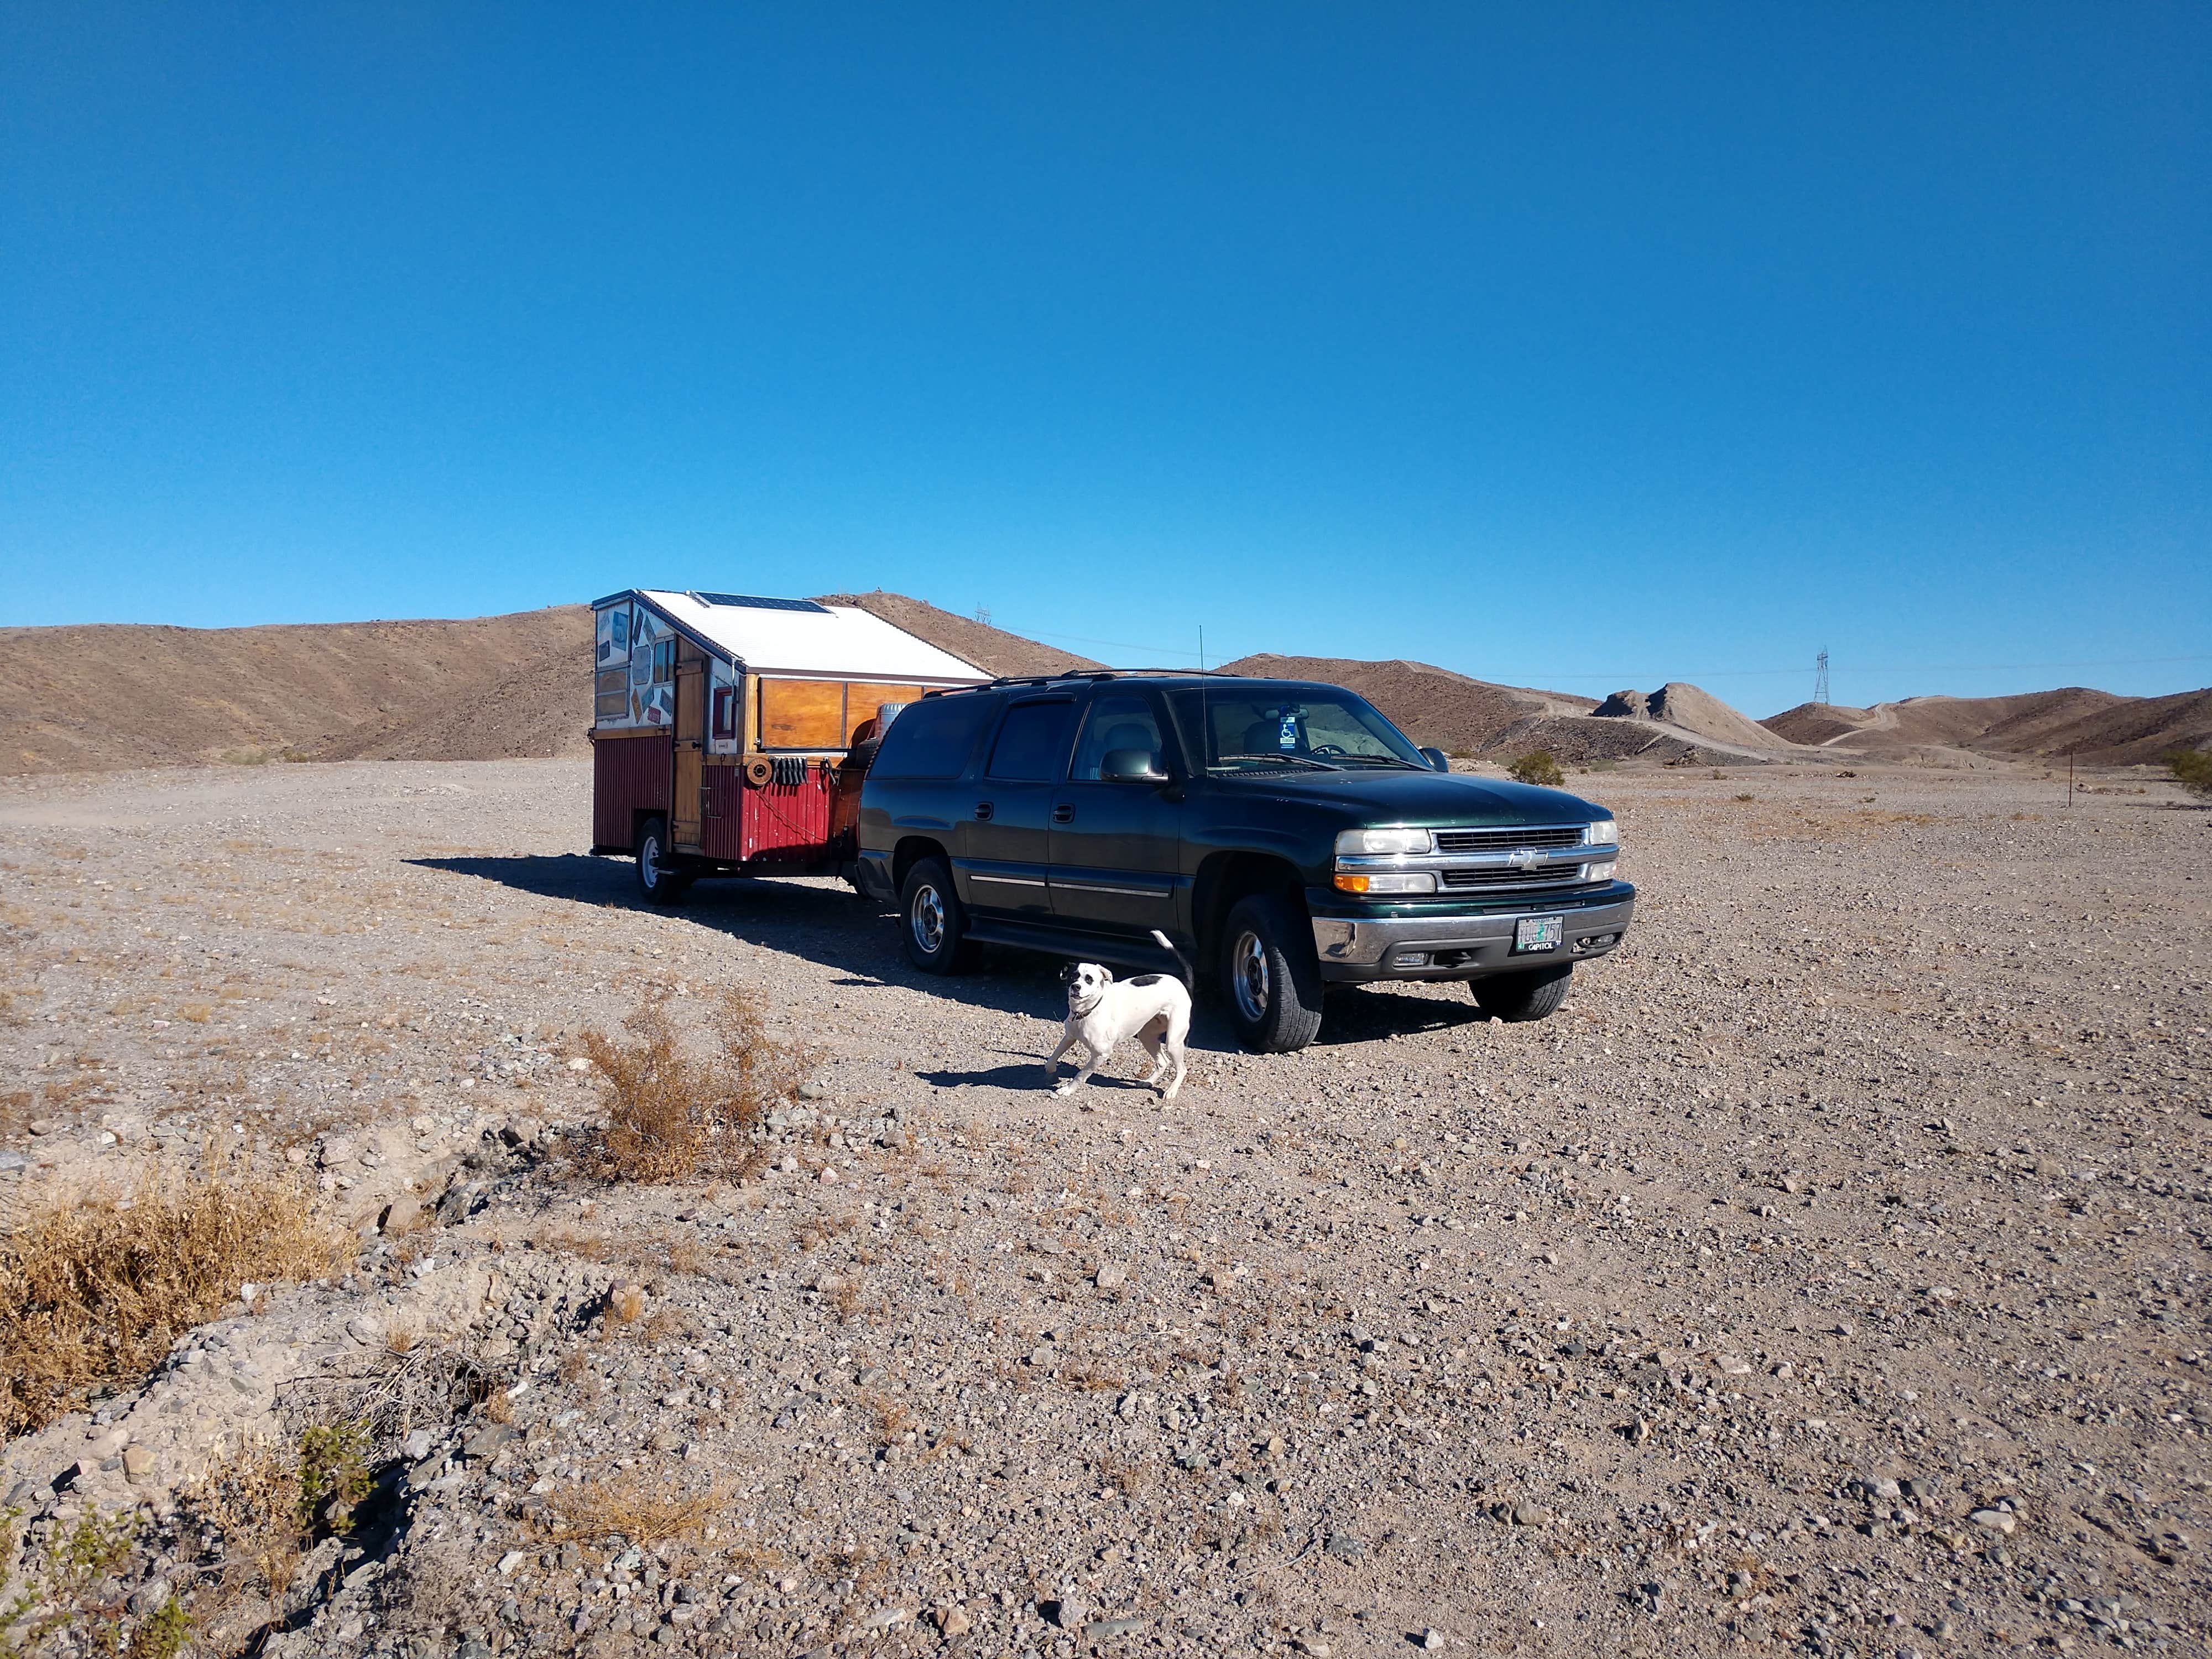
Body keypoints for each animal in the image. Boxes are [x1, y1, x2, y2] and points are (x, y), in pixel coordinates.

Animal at [1048, 938, 1194, 1106]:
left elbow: (1081, 1074)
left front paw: (1067, 1090)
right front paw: (1051, 1068)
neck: (1088, 1011)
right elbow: (1054, 1055)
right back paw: (1148, 1082)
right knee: (1163, 1062)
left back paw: (1171, 1090)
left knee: (1182, 1069)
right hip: (1147, 1036)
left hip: (1173, 1042)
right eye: (1073, 976)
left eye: (1089, 979)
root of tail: (1182, 983)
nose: (1076, 987)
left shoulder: (1101, 1054)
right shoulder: (1070, 1037)